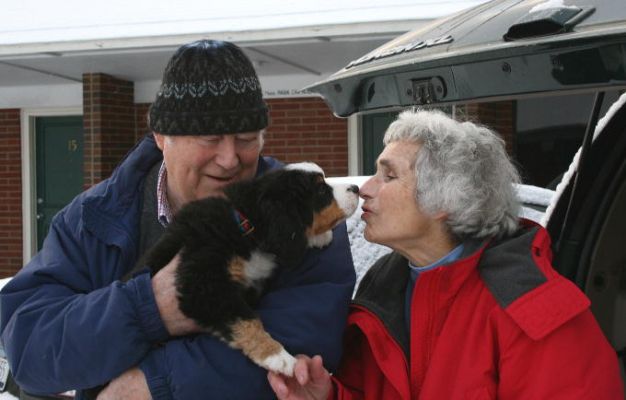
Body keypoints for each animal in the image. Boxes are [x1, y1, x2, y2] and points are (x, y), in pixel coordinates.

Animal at [131, 162, 356, 376]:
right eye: (321, 190)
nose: (355, 188)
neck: (245, 224)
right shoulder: (202, 283)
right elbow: (247, 320)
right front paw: (278, 357)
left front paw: (320, 237)